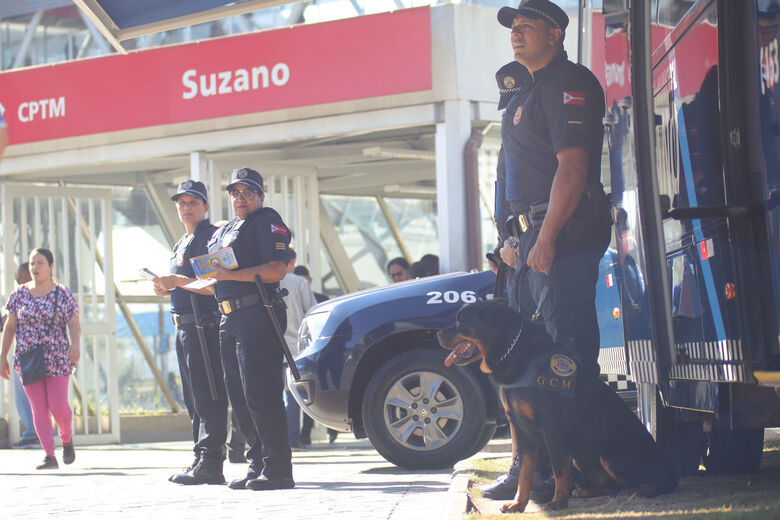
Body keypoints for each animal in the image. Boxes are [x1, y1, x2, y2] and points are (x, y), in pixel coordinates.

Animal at [438, 300, 676, 512]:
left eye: (461, 320)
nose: (437, 333)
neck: (514, 352)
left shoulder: (551, 428)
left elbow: (559, 470)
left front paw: (558, 502)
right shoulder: (522, 430)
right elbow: (525, 473)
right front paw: (518, 504)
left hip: (610, 454)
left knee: (655, 484)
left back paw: (631, 490)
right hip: (581, 457)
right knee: (609, 483)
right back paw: (588, 491)